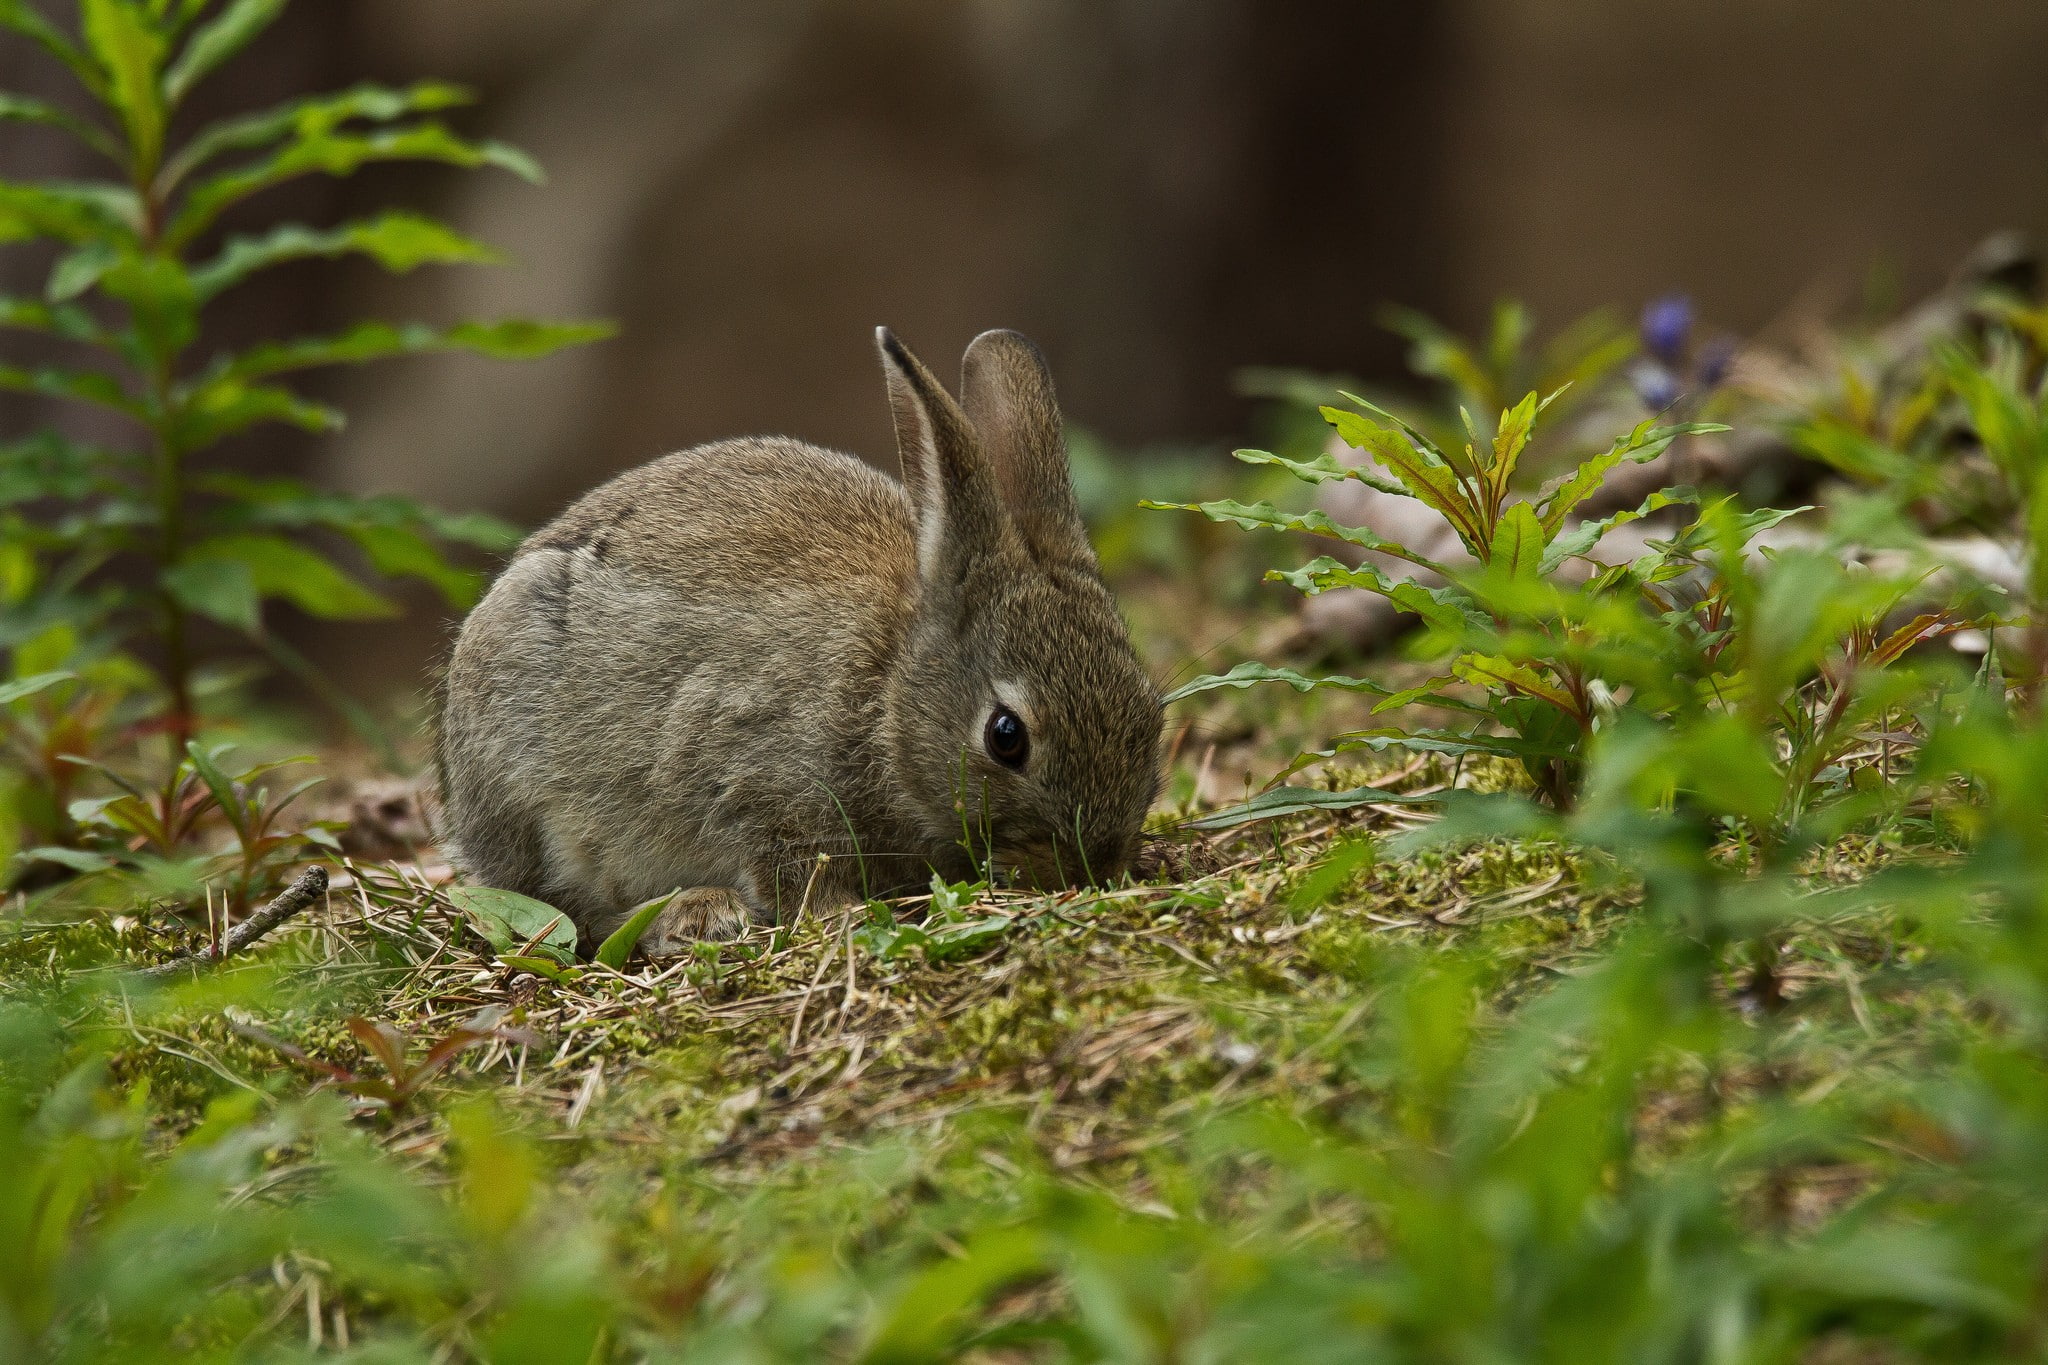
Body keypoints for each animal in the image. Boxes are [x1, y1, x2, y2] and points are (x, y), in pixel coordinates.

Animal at [435, 327, 1164, 954]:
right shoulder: (757, 778)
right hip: (522, 777)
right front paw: (844, 916)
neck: (888, 693)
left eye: (1151, 714)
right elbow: (792, 866)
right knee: (564, 908)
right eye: (1005, 736)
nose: (1094, 866)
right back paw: (695, 914)